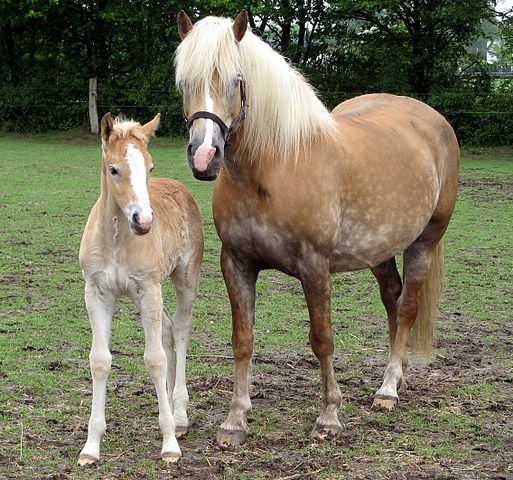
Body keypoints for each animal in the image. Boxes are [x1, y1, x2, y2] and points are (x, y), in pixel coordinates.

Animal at [78, 112, 202, 464]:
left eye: (149, 167)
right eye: (113, 169)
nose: (144, 221)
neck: (117, 240)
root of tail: (179, 187)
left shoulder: (148, 289)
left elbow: (155, 360)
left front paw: (169, 444)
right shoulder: (96, 293)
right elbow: (100, 360)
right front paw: (91, 447)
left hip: (182, 278)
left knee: (181, 329)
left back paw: (180, 415)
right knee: (168, 330)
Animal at [174, 9, 458, 448]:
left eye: (236, 80)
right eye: (185, 81)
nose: (205, 155)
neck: (273, 168)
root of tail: (433, 120)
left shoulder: (314, 266)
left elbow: (322, 339)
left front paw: (329, 417)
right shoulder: (236, 263)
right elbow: (242, 340)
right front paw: (235, 421)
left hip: (425, 240)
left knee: (408, 305)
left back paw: (388, 389)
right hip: (378, 250)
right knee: (393, 300)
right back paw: (400, 376)